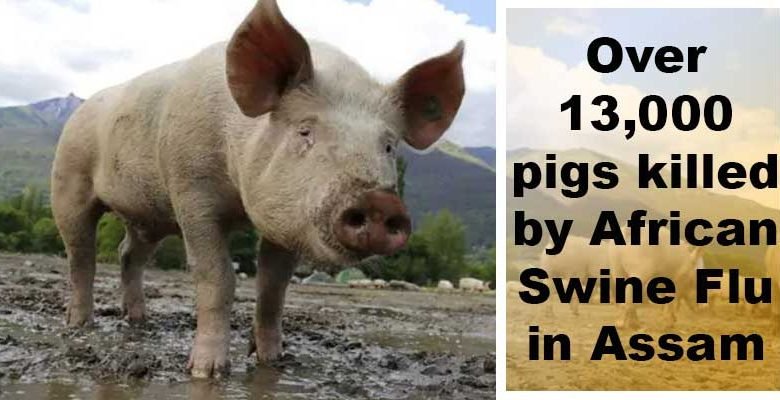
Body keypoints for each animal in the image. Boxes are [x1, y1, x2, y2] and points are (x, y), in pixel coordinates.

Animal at [50, 0, 464, 378]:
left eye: (389, 145)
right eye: (305, 131)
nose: (379, 202)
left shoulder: (286, 219)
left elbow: (273, 288)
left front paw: (273, 362)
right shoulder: (190, 190)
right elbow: (217, 276)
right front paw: (207, 372)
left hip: (147, 218)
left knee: (127, 255)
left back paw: (138, 320)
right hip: (69, 180)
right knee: (81, 255)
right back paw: (79, 324)